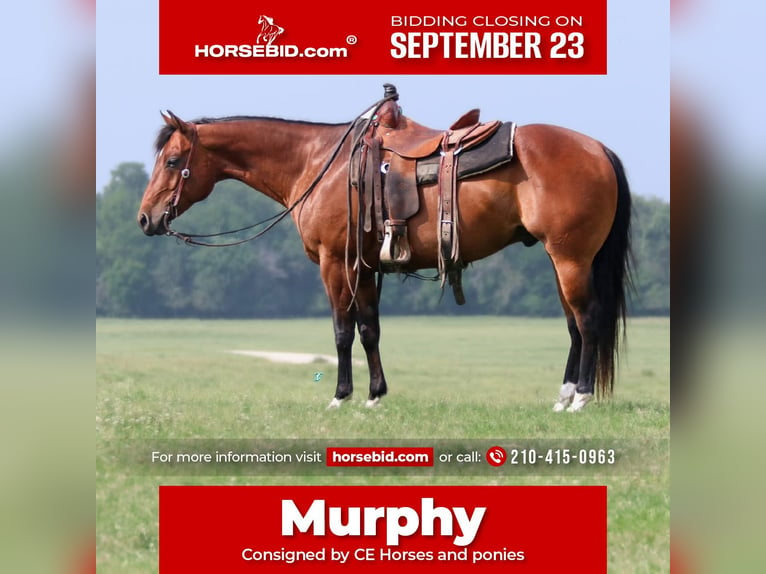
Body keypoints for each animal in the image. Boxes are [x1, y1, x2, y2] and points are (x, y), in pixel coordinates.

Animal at [140, 90, 636, 414]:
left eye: (172, 161)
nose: (146, 218)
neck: (318, 164)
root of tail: (598, 149)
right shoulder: (363, 266)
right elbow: (369, 330)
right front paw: (375, 395)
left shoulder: (334, 262)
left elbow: (342, 331)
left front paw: (340, 396)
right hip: (562, 261)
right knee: (574, 325)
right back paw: (564, 396)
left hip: (571, 259)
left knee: (588, 320)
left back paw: (582, 397)